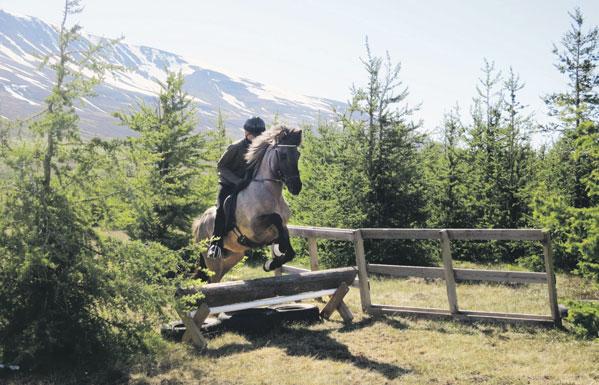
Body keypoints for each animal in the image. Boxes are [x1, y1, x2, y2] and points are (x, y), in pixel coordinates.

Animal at [192, 124, 302, 280]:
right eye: (283, 155)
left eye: (298, 155)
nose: (296, 187)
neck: (271, 193)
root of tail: (198, 222)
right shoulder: (254, 229)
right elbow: (275, 218)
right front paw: (275, 256)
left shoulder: (282, 228)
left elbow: (289, 249)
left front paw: (270, 263)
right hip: (213, 261)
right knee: (213, 278)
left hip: (233, 256)